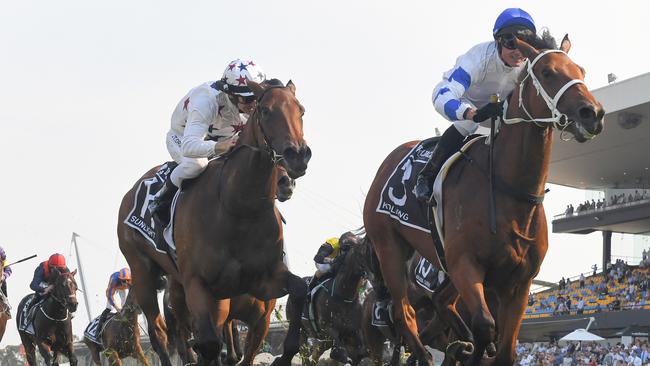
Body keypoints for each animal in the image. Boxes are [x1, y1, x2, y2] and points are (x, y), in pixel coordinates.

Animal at [119, 80, 312, 366]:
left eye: (301, 110)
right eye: (265, 110)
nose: (297, 155)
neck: (238, 209)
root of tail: (130, 193)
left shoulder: (265, 282)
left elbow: (299, 290)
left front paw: (285, 355)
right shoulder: (198, 285)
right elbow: (210, 345)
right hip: (142, 272)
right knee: (159, 334)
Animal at [288, 232, 372, 366]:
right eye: (362, 253)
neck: (344, 296)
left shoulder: (353, 330)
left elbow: (361, 351)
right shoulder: (328, 328)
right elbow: (339, 352)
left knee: (316, 353)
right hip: (301, 329)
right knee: (304, 353)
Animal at [362, 33, 604, 364]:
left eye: (581, 70)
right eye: (547, 72)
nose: (592, 113)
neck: (509, 192)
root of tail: (389, 161)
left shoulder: (519, 282)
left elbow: (505, 348)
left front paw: (471, 348)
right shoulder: (466, 264)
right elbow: (485, 325)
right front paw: (470, 349)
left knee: (440, 301)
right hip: (390, 248)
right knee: (404, 313)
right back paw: (427, 354)